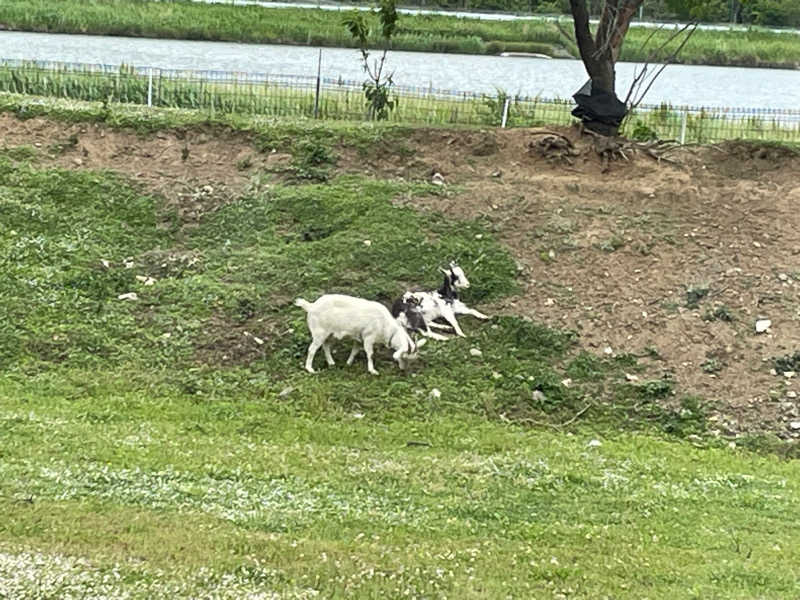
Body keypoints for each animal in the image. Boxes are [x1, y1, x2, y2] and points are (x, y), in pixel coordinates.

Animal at [296, 292, 424, 372]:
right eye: (404, 357)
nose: (403, 369)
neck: (386, 326)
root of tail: (311, 306)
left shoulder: (359, 338)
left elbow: (355, 351)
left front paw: (348, 363)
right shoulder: (368, 337)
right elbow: (370, 353)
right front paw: (372, 370)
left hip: (330, 334)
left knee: (326, 346)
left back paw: (331, 363)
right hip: (319, 332)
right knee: (312, 349)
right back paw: (310, 369)